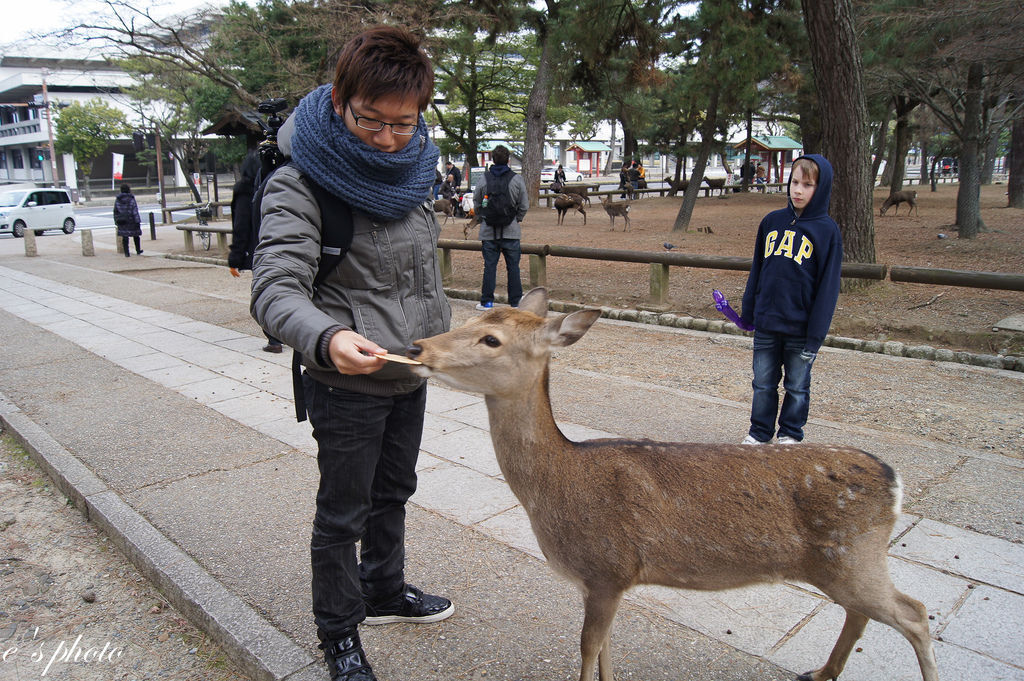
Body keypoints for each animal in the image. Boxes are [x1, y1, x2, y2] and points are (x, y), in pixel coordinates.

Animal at [407, 286, 937, 679]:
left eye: (491, 339)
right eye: (473, 323)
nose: (418, 347)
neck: (559, 484)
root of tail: (894, 483)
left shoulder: (608, 568)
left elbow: (587, 647)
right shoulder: (604, 583)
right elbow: (605, 648)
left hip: (853, 557)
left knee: (915, 612)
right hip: (845, 566)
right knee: (865, 613)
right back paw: (822, 672)